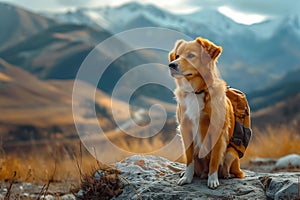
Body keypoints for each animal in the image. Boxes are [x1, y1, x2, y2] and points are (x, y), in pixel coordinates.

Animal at [169, 36, 244, 188]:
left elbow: (214, 159)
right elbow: (189, 160)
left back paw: (226, 175)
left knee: (231, 170)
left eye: (191, 55)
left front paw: (213, 180)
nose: (171, 65)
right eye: (177, 56)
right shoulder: (185, 128)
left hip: (230, 152)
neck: (196, 91)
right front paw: (187, 177)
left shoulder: (217, 130)